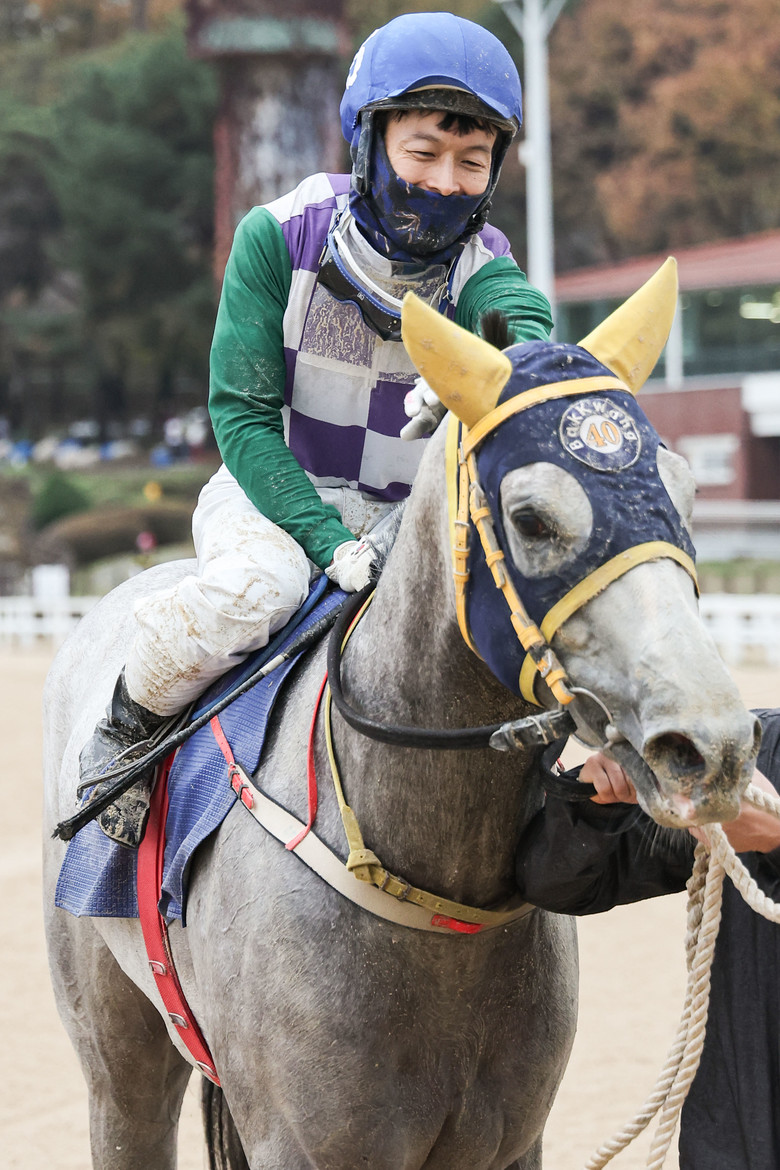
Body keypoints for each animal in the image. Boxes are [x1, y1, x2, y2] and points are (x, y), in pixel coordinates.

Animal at [42, 259, 759, 1170]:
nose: (714, 744)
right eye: (531, 517)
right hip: (117, 1049)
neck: (422, 876)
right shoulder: (302, 1141)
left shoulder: (509, 1139)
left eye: (685, 489)